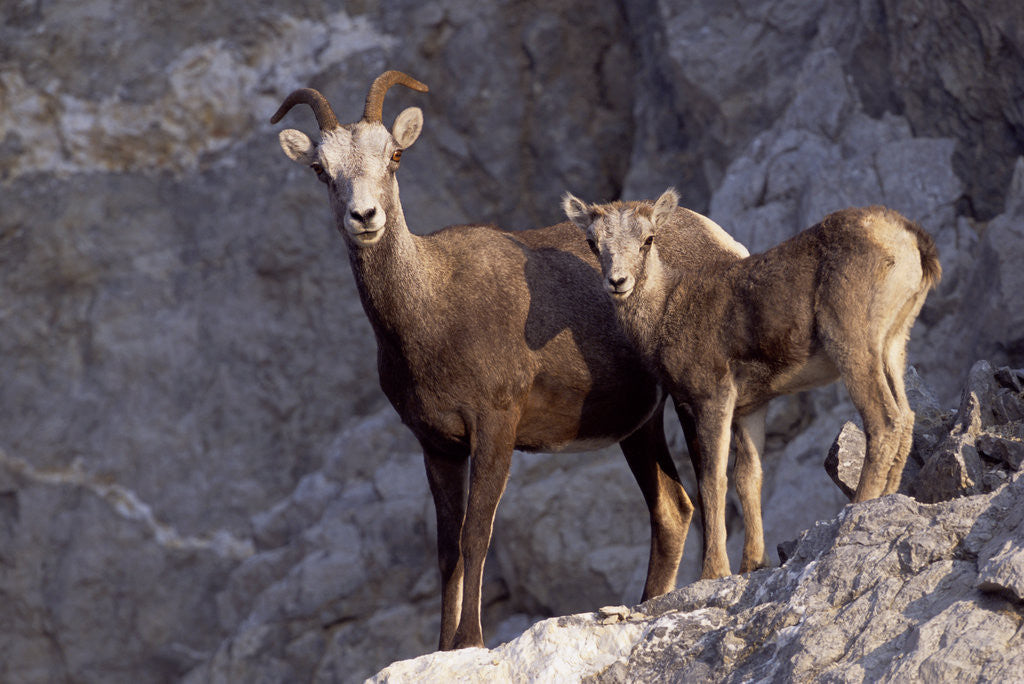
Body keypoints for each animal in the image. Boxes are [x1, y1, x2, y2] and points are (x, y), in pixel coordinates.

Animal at [270, 72, 750, 649]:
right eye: (321, 169)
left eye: (394, 156)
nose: (365, 217)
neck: (431, 311)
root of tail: (726, 244)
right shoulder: (438, 446)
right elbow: (447, 552)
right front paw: (443, 647)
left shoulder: (495, 426)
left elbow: (476, 535)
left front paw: (470, 640)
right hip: (640, 426)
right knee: (672, 508)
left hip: (691, 393)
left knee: (709, 481)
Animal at [563, 188, 941, 580]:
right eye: (592, 242)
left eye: (648, 239)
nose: (618, 282)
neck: (666, 311)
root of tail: (910, 239)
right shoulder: (750, 408)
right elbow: (749, 477)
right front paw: (752, 564)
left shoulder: (712, 397)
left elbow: (713, 480)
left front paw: (714, 571)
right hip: (894, 344)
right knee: (906, 418)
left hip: (852, 341)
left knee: (884, 421)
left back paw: (857, 507)